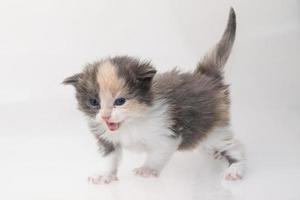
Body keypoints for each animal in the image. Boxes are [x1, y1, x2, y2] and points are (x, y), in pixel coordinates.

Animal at [64, 8, 245, 184]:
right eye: (94, 102)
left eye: (120, 101)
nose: (105, 116)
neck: (131, 123)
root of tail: (205, 76)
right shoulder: (107, 139)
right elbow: (110, 159)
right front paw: (105, 175)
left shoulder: (167, 133)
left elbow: (157, 155)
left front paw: (147, 169)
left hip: (215, 128)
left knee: (234, 145)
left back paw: (235, 169)